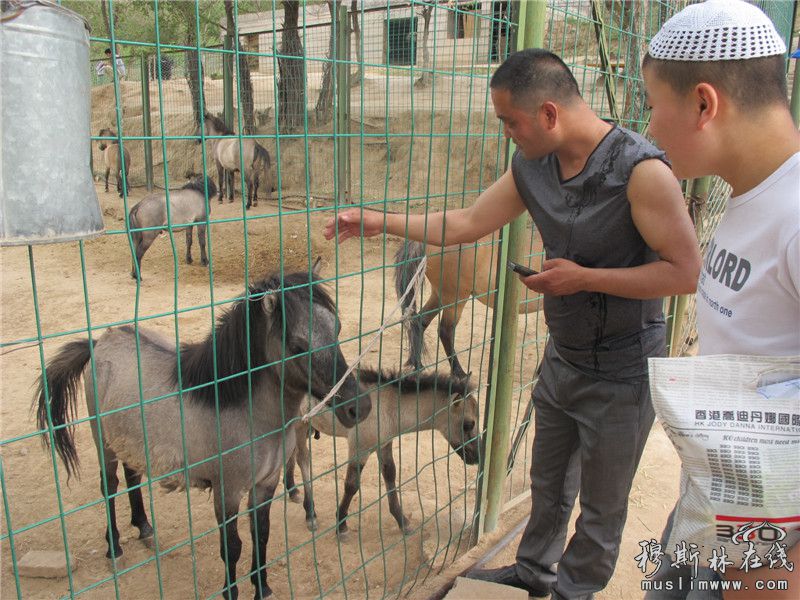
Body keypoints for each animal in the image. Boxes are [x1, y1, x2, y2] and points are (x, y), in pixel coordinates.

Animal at [36, 268, 374, 600]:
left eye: (337, 329)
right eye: (297, 346)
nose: (359, 407)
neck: (243, 410)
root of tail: (100, 342)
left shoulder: (265, 485)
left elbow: (261, 535)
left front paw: (263, 588)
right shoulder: (227, 492)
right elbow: (233, 547)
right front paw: (231, 591)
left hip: (129, 442)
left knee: (132, 479)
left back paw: (145, 529)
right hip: (103, 443)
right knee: (110, 487)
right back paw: (115, 548)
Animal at [284, 368, 478, 536]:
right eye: (468, 424)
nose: (477, 458)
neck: (387, 406)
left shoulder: (384, 444)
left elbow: (390, 474)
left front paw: (403, 522)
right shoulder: (359, 448)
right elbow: (351, 485)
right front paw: (341, 525)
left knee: (291, 454)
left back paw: (293, 491)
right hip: (299, 424)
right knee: (303, 458)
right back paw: (310, 513)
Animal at [394, 236, 544, 380]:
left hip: (439, 295)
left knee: (420, 321)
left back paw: (418, 364)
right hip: (455, 298)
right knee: (445, 330)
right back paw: (460, 373)